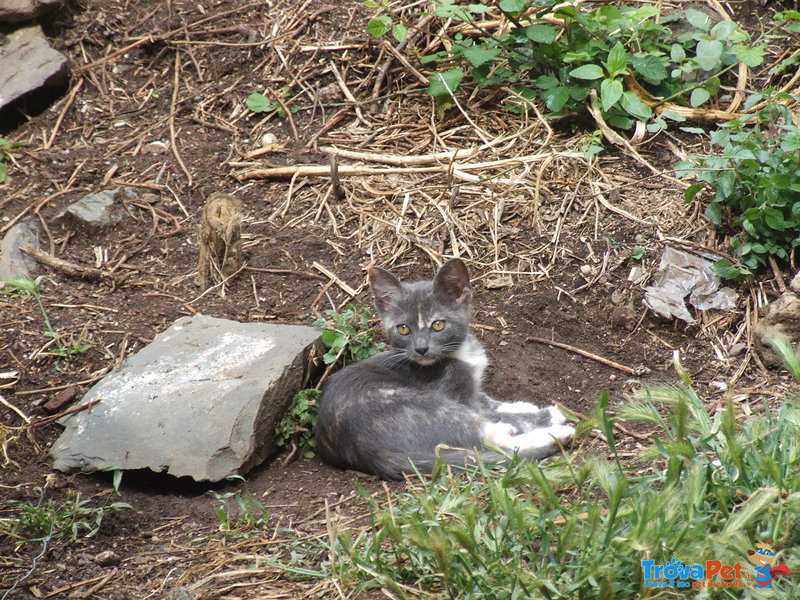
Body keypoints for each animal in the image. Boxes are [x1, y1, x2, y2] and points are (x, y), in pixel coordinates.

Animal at [314, 258, 576, 478]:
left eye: (438, 325)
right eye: (403, 329)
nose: (421, 348)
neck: (460, 353)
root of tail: (364, 450)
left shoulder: (472, 389)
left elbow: (488, 400)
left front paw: (521, 404)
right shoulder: (454, 394)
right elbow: (493, 413)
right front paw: (546, 414)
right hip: (424, 404)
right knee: (490, 438)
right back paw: (556, 434)